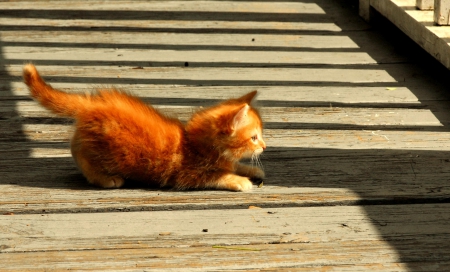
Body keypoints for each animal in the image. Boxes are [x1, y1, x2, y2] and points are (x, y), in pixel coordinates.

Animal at [22, 63, 266, 191]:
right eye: (254, 137)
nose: (264, 146)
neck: (194, 144)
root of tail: (92, 104)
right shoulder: (186, 176)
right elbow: (218, 176)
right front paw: (239, 180)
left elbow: (234, 166)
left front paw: (251, 170)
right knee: (82, 156)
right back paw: (105, 178)